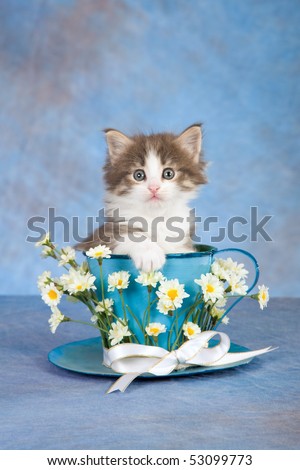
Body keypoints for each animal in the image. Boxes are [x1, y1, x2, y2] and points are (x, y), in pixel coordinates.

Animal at [75, 125, 206, 272]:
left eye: (168, 173)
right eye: (139, 175)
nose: (154, 188)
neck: (156, 215)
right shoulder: (103, 235)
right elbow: (129, 235)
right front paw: (149, 254)